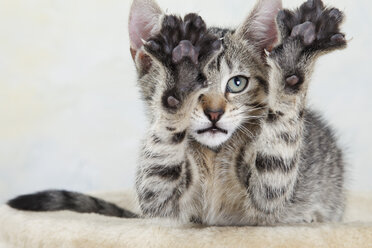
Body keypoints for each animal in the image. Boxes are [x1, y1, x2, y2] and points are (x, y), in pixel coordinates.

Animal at [7, 0, 348, 226]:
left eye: (237, 83)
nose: (214, 112)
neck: (213, 156)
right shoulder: (159, 203)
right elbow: (160, 162)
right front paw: (180, 75)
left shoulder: (271, 198)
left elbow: (276, 157)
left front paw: (295, 56)